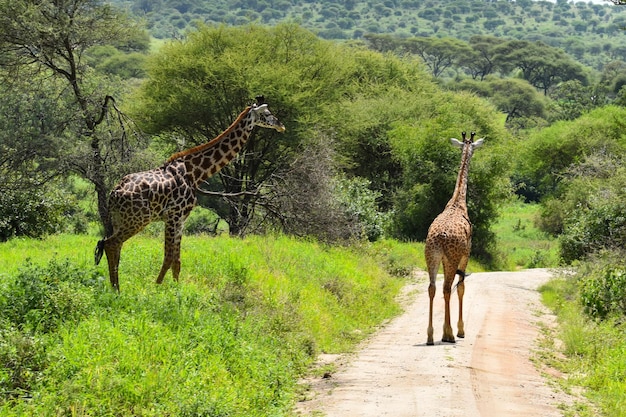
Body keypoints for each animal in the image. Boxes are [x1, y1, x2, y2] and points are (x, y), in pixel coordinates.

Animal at [94, 97, 286, 290]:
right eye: (267, 113)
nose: (281, 126)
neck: (195, 173)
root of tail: (114, 194)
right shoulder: (174, 216)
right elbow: (168, 257)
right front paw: (158, 288)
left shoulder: (181, 219)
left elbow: (176, 260)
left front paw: (176, 288)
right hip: (138, 220)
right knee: (111, 244)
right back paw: (116, 290)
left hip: (120, 220)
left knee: (113, 246)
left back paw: (114, 286)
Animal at [424, 131, 482, 344]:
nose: (469, 147)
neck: (458, 202)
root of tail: (440, 237)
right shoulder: (466, 254)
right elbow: (461, 287)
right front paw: (460, 330)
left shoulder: (444, 259)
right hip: (452, 257)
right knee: (448, 288)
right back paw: (448, 334)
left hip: (431, 257)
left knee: (432, 287)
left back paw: (430, 335)